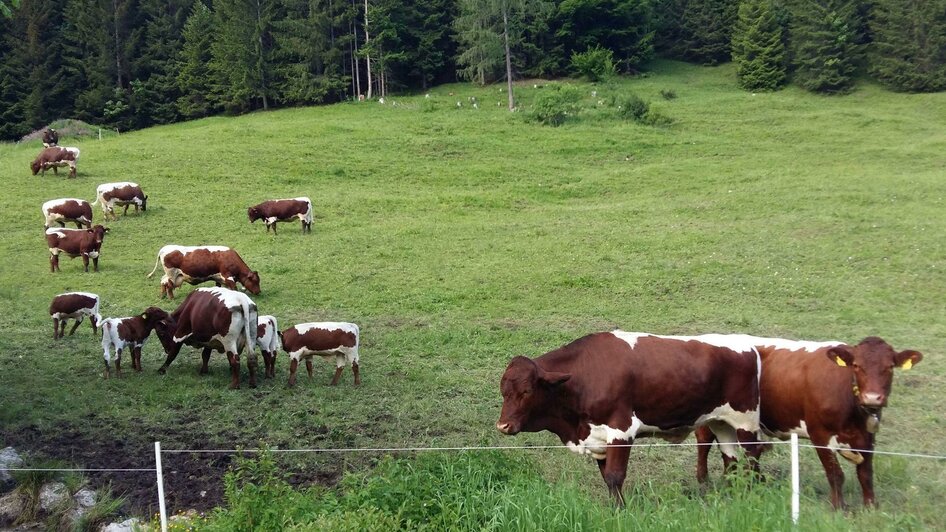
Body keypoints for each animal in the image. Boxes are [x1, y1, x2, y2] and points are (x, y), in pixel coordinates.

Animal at [494, 328, 760, 508]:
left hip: (745, 421)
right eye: (503, 391)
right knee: (730, 460)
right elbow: (607, 478)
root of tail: (748, 347)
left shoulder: (621, 430)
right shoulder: (599, 437)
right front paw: (615, 507)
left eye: (527, 391)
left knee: (752, 456)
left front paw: (620, 511)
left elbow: (615, 476)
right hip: (720, 422)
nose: (503, 425)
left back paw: (753, 491)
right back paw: (730, 495)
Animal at [688, 334, 920, 510]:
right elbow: (835, 474)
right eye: (856, 366)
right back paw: (704, 480)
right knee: (704, 440)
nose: (872, 398)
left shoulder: (868, 437)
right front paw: (839, 508)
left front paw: (871, 507)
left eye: (890, 367)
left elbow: (866, 474)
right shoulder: (820, 435)